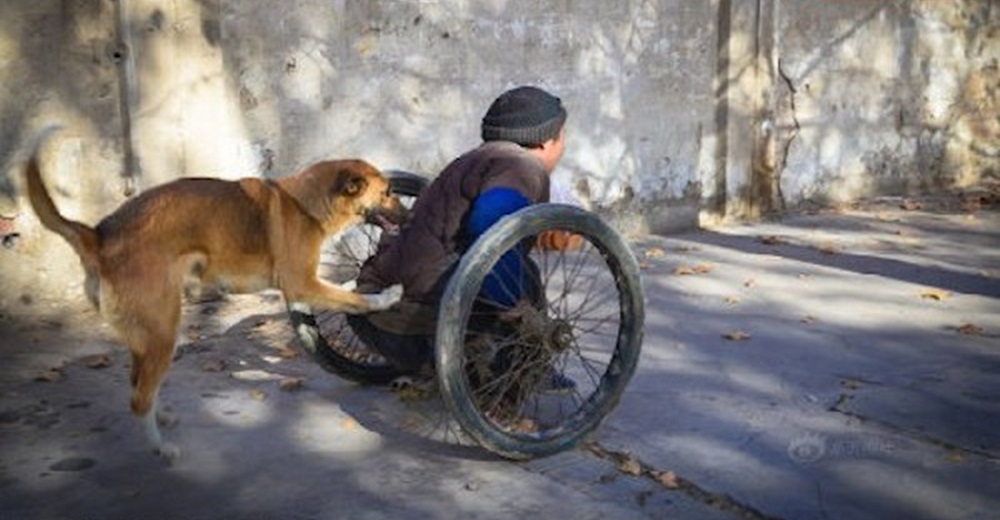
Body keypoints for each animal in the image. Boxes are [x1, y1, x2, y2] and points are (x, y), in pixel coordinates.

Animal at [24, 147, 406, 460]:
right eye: (387, 193)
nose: (410, 215)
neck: (305, 203)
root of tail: (99, 236)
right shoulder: (301, 284)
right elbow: (354, 300)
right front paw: (386, 296)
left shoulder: (304, 287)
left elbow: (343, 289)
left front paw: (360, 282)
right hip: (164, 331)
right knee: (138, 397)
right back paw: (161, 447)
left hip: (145, 336)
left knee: (138, 382)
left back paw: (161, 415)